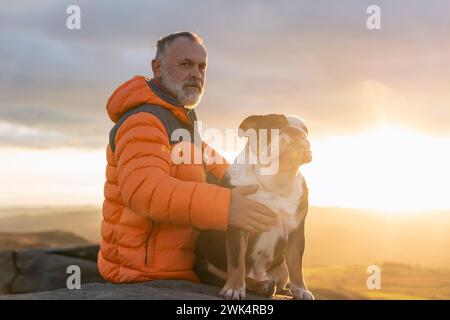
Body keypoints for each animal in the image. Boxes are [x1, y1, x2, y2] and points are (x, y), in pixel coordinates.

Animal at [195, 114, 314, 300]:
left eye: (305, 131)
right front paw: (234, 289)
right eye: (275, 126)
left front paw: (301, 290)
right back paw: (261, 285)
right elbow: (237, 261)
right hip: (205, 262)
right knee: (238, 275)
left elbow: (296, 264)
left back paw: (275, 287)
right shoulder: (240, 223)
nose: (296, 133)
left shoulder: (295, 232)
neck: (276, 182)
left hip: (281, 266)